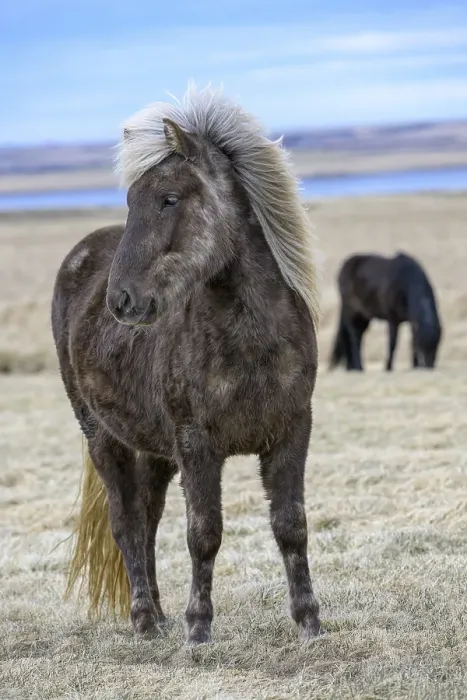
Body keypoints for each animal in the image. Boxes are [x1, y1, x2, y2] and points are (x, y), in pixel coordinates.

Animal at [51, 84, 323, 646]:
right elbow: (204, 534)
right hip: (103, 436)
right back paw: (145, 619)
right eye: (131, 201)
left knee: (148, 519)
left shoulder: (292, 433)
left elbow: (291, 525)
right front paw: (198, 628)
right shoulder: (198, 444)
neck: (252, 340)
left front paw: (310, 622)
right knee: (127, 522)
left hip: (154, 450)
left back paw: (158, 611)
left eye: (169, 199)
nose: (122, 300)